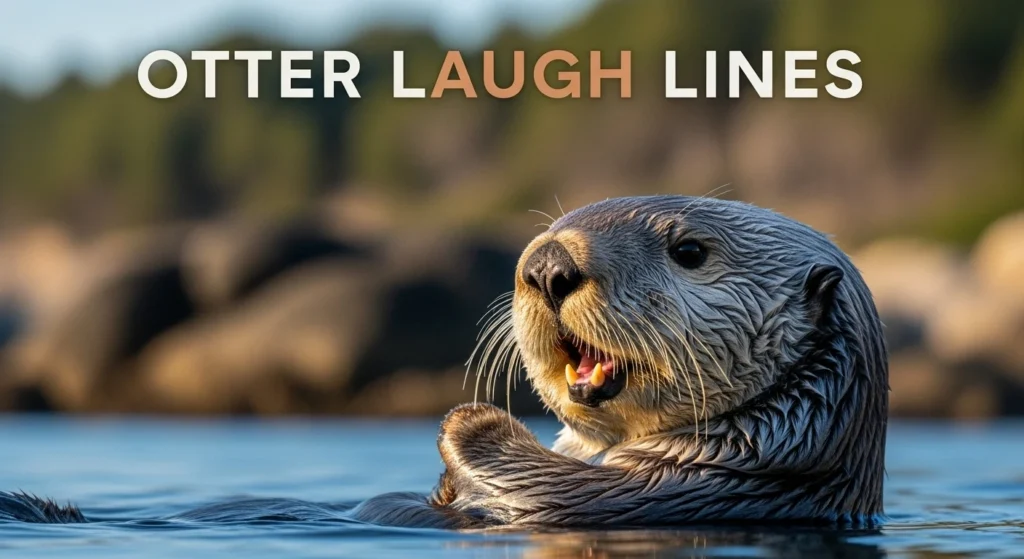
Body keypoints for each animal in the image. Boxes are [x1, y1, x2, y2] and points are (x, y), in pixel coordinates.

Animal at [1, 196, 887, 528]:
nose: (547, 266)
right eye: (556, 225)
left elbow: (543, 482)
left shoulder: (673, 486)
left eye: (690, 251)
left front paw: (471, 421)